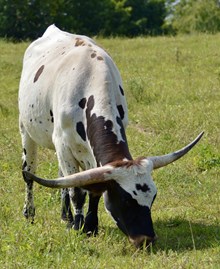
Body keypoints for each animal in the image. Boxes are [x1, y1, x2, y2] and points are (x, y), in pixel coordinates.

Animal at [18, 24, 203, 246]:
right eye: (125, 200)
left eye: (153, 197)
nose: (146, 239)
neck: (90, 82)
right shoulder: (63, 144)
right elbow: (77, 191)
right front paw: (79, 227)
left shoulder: (91, 155)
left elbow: (92, 189)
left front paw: (90, 226)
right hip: (26, 130)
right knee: (29, 173)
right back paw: (30, 214)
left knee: (63, 177)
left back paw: (66, 216)